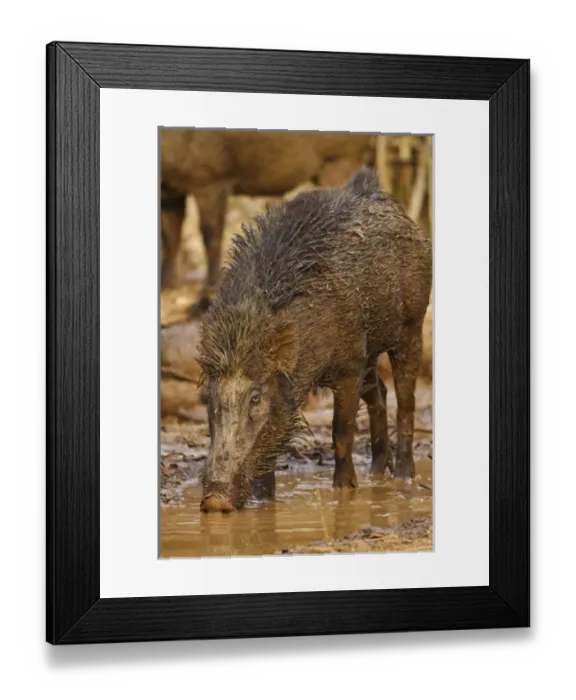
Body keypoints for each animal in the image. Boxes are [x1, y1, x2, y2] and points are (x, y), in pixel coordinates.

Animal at [160, 129, 376, 310]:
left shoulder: (209, 180)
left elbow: (210, 236)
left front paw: (203, 301)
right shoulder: (170, 194)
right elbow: (169, 237)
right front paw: (166, 288)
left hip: (338, 161)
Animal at [196, 167, 432, 512]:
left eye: (255, 397)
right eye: (207, 399)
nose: (214, 501)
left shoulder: (348, 365)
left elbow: (341, 430)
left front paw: (344, 491)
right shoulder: (352, 360)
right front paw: (263, 503)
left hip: (411, 326)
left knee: (405, 401)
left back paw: (402, 477)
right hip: (370, 352)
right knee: (380, 393)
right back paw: (377, 475)